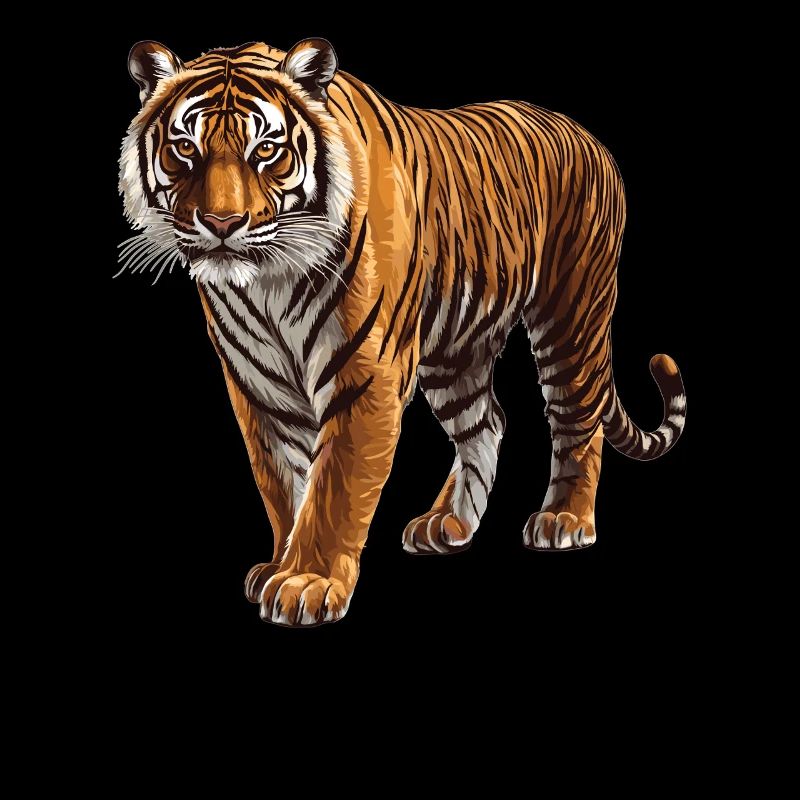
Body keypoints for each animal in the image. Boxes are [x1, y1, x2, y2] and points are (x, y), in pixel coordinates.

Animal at [119, 38, 687, 627]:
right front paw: (278, 564)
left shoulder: (365, 378)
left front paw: (306, 581)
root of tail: (586, 134)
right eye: (184, 147)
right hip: (457, 349)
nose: (222, 224)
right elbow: (281, 482)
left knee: (579, 418)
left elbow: (333, 486)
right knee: (486, 422)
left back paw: (564, 520)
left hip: (570, 315)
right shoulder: (257, 388)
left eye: (267, 150)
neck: (266, 284)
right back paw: (448, 524)